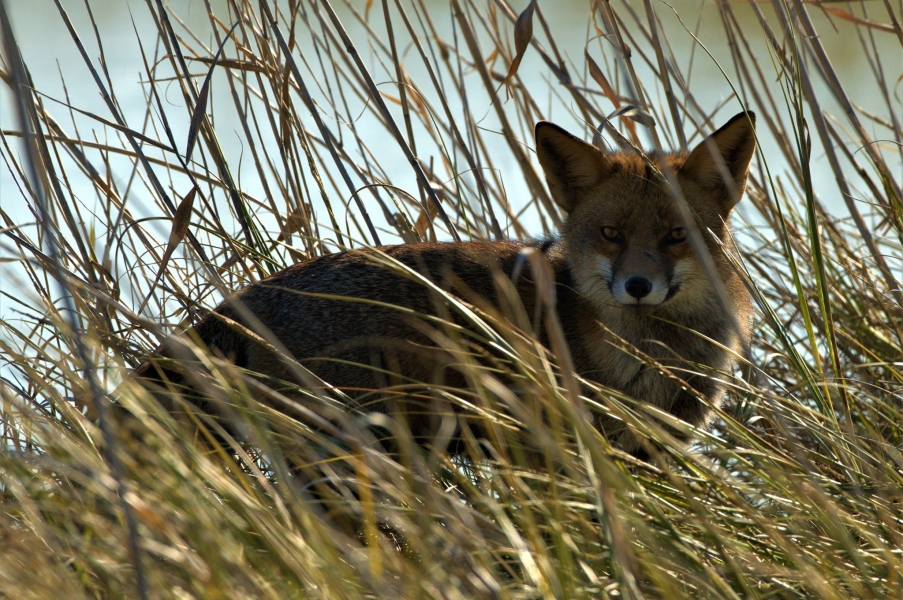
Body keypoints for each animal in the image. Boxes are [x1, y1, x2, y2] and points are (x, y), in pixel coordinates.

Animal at [132, 112, 756, 458]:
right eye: (611, 234)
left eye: (677, 235)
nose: (638, 285)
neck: (658, 357)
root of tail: (245, 298)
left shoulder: (653, 454)